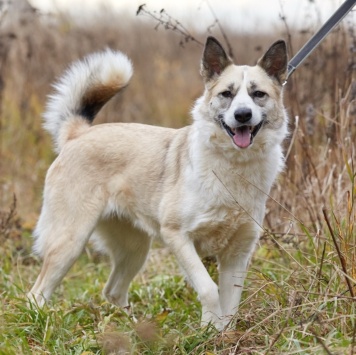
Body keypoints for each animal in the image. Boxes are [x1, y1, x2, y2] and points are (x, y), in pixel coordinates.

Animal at [28, 36, 290, 330]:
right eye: (227, 94)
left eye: (259, 94)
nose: (243, 115)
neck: (234, 165)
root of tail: (78, 133)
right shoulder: (177, 236)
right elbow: (209, 289)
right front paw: (208, 329)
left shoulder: (238, 253)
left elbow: (231, 305)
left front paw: (223, 334)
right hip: (69, 242)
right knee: (37, 294)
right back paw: (41, 324)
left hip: (135, 249)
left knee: (113, 290)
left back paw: (135, 327)